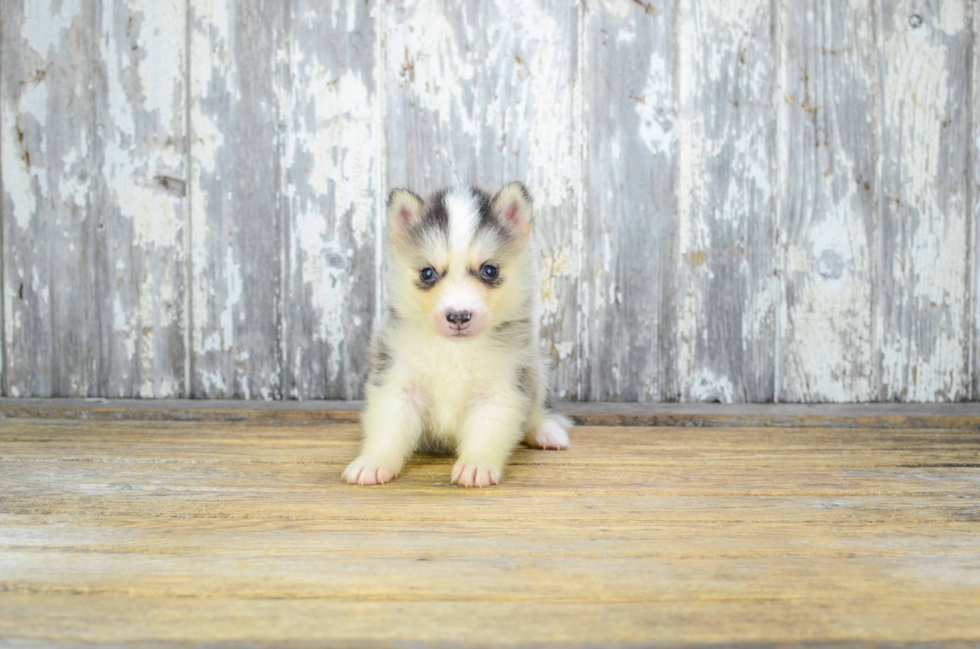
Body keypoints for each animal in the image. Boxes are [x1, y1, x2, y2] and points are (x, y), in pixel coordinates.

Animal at [344, 182, 576, 486]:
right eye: (427, 273)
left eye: (489, 270)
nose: (458, 316)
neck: (453, 350)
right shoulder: (397, 382)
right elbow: (388, 429)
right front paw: (373, 462)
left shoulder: (500, 389)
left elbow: (487, 433)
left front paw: (476, 465)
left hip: (536, 368)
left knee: (535, 411)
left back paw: (546, 431)